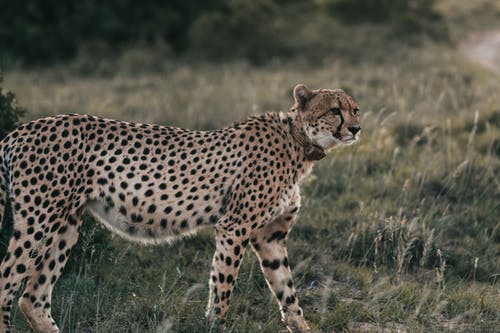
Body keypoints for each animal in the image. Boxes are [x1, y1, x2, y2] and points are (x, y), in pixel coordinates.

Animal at [0, 83, 360, 332]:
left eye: (355, 110)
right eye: (334, 110)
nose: (356, 129)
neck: (299, 142)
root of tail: (18, 131)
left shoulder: (270, 237)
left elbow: (287, 290)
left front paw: (302, 326)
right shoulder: (235, 227)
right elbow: (223, 285)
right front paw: (215, 325)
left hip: (66, 225)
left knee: (32, 297)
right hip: (38, 220)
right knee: (6, 280)